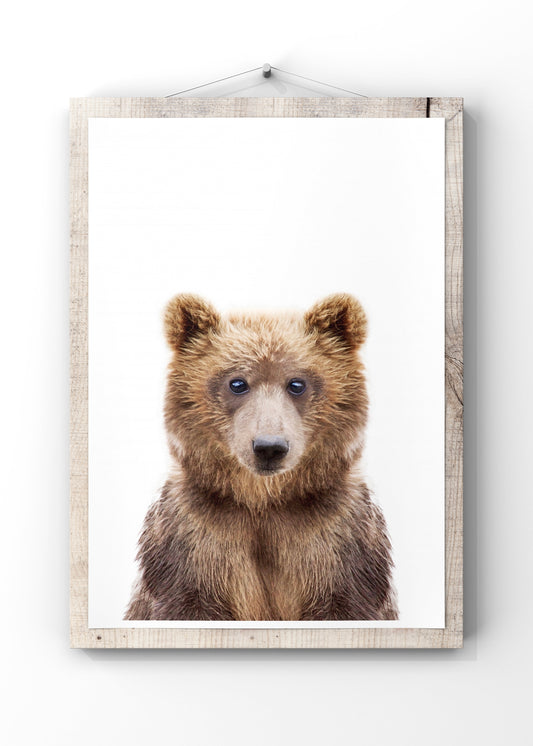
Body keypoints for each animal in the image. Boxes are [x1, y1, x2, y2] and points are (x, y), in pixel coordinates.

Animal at [125, 293, 398, 621]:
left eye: (297, 383)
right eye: (237, 382)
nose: (269, 447)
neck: (263, 501)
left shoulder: (338, 541)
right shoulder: (193, 541)